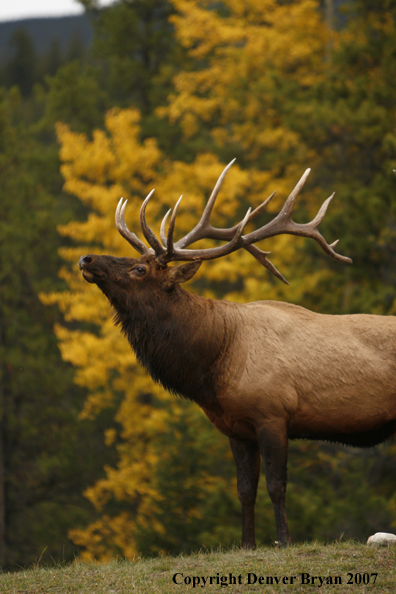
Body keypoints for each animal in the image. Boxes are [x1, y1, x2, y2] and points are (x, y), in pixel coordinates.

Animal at [78, 161, 396, 544]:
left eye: (139, 268)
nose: (86, 257)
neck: (214, 363)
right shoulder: (235, 428)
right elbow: (245, 490)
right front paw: (247, 544)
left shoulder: (273, 413)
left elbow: (276, 486)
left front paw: (284, 540)